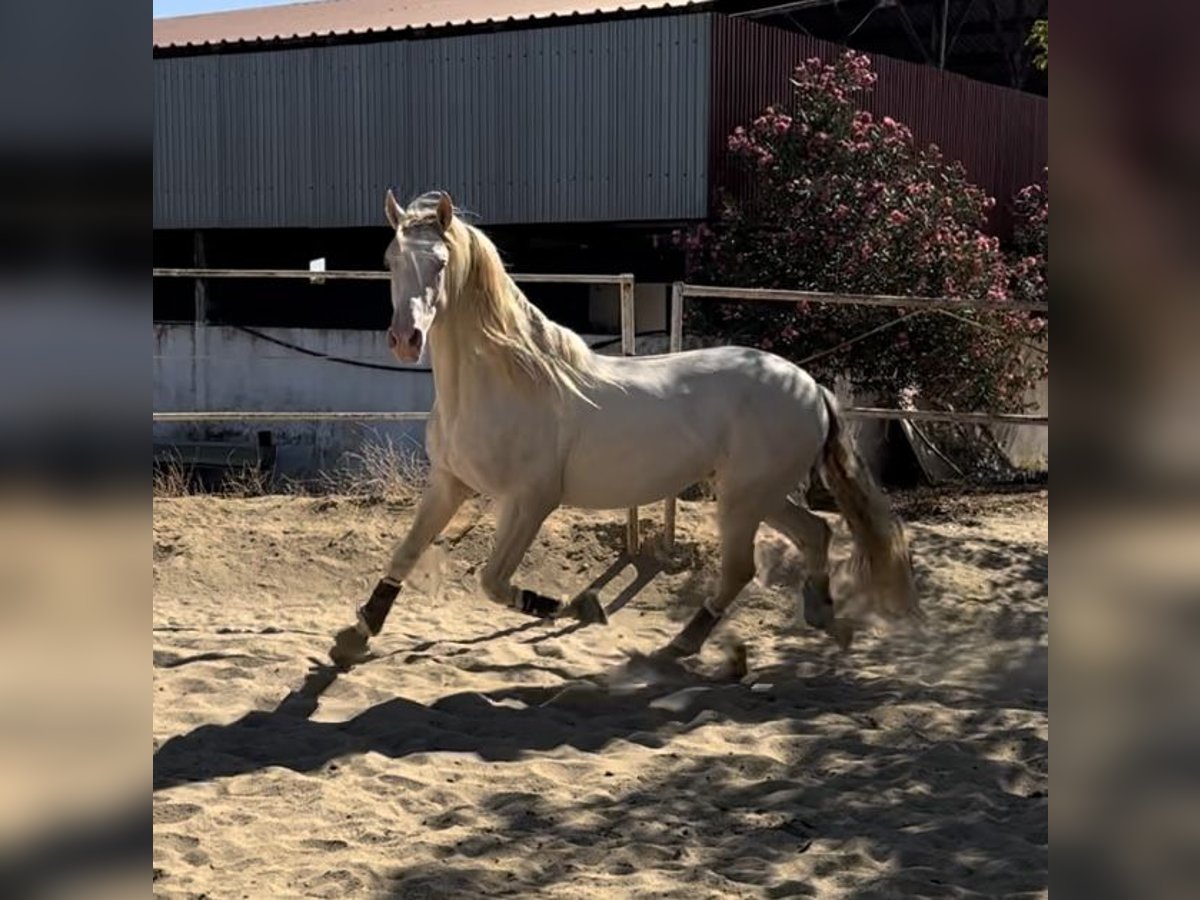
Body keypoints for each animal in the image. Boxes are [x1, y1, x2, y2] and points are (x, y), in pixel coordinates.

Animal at [328, 190, 916, 672]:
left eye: (441, 262)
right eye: (389, 260)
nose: (405, 339)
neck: (503, 383)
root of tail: (811, 386)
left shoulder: (530, 500)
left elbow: (492, 581)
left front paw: (578, 607)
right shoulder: (449, 483)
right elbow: (405, 553)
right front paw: (356, 635)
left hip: (744, 497)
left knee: (741, 568)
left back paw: (683, 643)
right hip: (760, 492)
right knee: (816, 532)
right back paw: (820, 613)